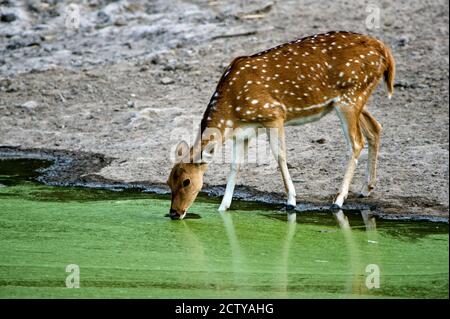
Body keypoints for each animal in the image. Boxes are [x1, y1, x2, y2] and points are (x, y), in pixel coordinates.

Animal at [168, 31, 394, 220]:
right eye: (169, 181)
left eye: (186, 181)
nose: (174, 213)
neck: (232, 111)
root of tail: (384, 51)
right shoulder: (244, 132)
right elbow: (235, 166)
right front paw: (223, 207)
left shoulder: (274, 113)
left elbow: (280, 156)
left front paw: (292, 202)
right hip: (355, 98)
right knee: (375, 128)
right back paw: (366, 188)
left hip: (350, 96)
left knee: (356, 142)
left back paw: (338, 201)